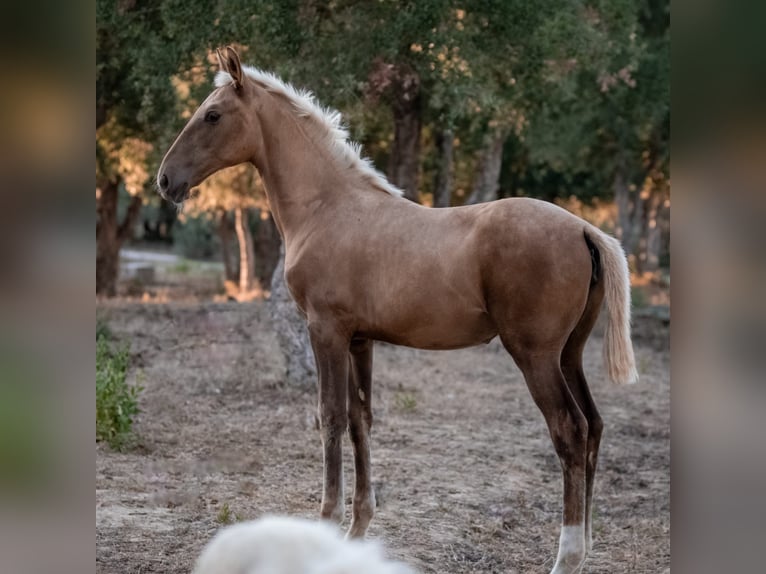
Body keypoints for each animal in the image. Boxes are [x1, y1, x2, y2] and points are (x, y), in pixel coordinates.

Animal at [159, 48, 640, 574]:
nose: (166, 180)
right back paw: (586, 545)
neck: (327, 207)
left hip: (535, 356)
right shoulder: (359, 339)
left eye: (212, 115)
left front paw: (327, 519)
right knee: (593, 425)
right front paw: (357, 527)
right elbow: (360, 419)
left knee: (569, 431)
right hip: (568, 354)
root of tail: (583, 229)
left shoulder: (325, 331)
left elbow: (330, 415)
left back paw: (567, 556)